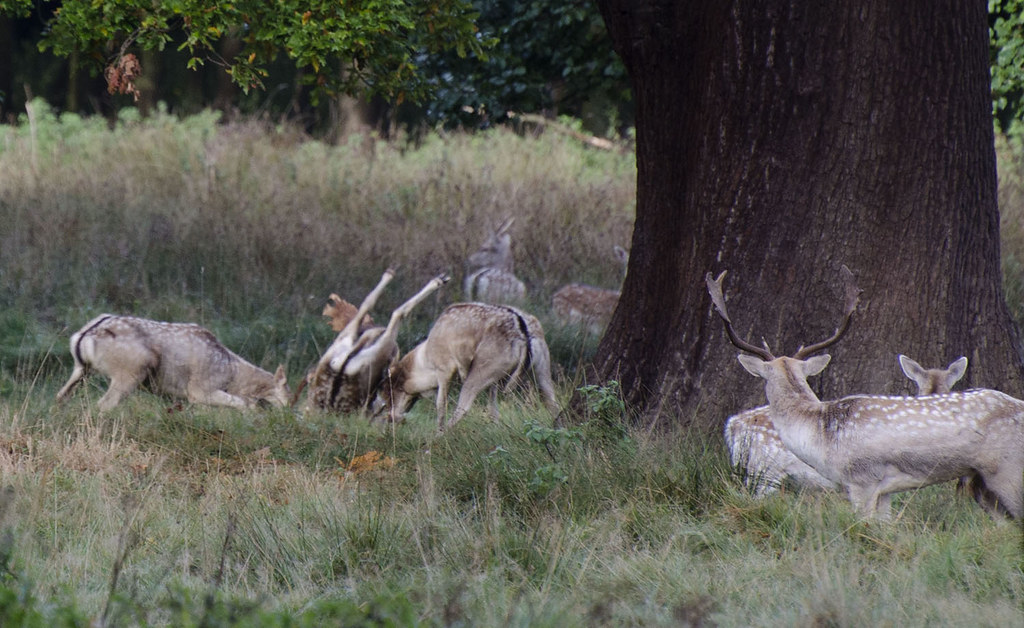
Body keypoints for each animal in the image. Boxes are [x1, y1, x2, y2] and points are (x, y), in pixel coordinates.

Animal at [55, 315, 290, 411]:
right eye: (285, 394)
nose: (287, 412)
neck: (232, 375)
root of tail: (83, 337)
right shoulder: (199, 389)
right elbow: (241, 403)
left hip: (81, 369)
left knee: (60, 396)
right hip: (131, 370)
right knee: (105, 403)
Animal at [303, 270, 450, 415]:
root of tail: (340, 364)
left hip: (342, 343)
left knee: (368, 307)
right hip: (376, 356)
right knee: (396, 315)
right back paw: (436, 280)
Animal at [373, 302, 559, 432]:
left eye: (388, 389)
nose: (390, 419)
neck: (424, 359)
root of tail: (522, 328)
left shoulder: (445, 371)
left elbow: (440, 406)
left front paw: (438, 429)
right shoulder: (493, 383)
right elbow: (494, 411)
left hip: (477, 375)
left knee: (463, 408)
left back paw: (437, 438)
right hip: (541, 370)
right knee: (553, 405)